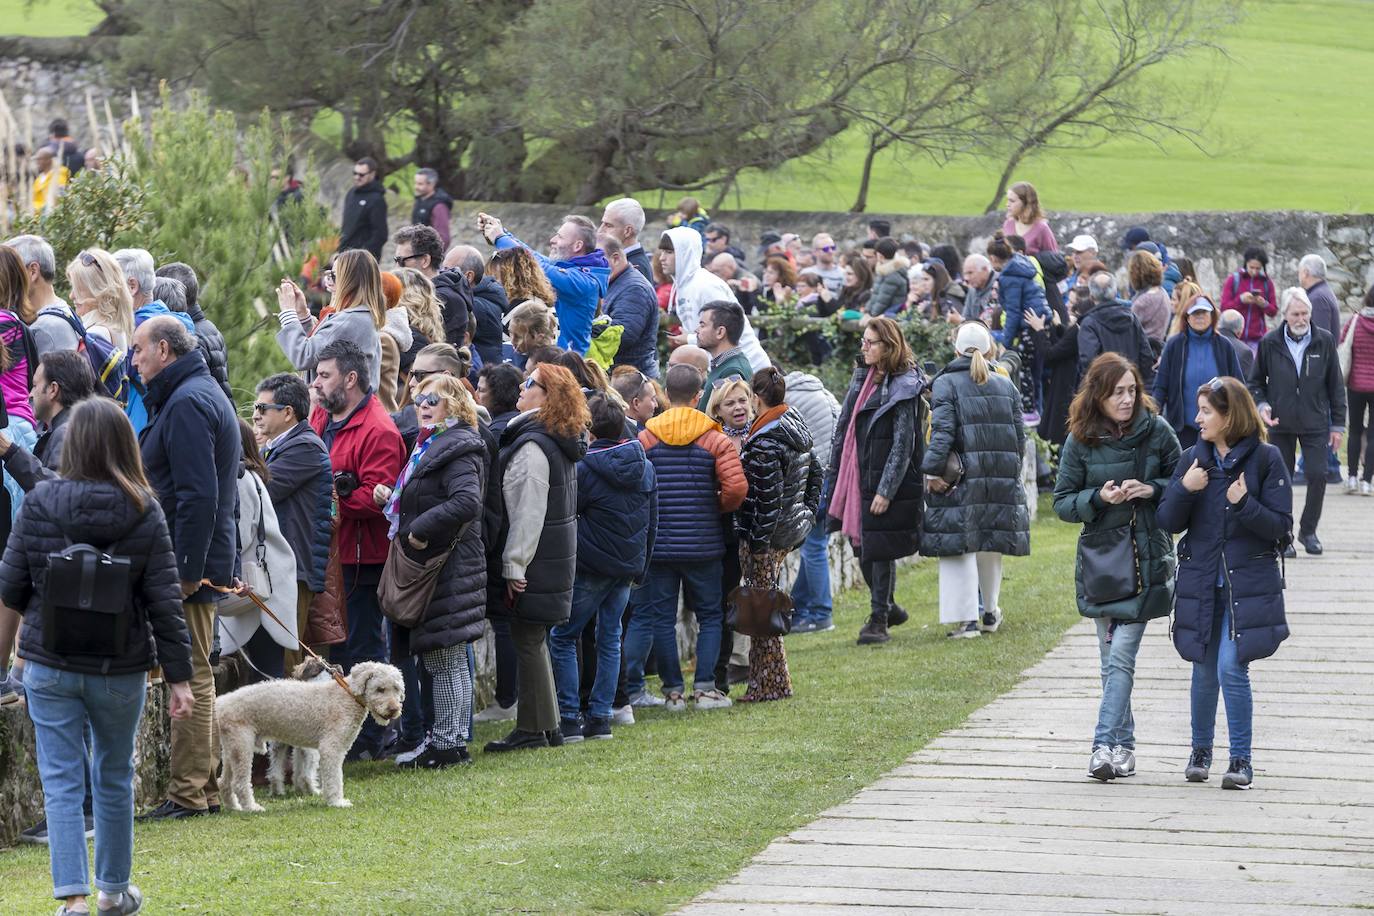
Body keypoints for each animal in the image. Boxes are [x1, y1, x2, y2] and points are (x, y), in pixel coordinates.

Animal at [215, 659, 401, 807]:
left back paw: (234, 807)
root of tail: (221, 703)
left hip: (232, 748)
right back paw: (252, 808)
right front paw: (337, 802)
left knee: (223, 782)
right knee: (239, 784)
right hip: (243, 746)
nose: (394, 710)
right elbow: (334, 778)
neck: (347, 696)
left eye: (397, 689)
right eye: (380, 689)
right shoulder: (330, 749)